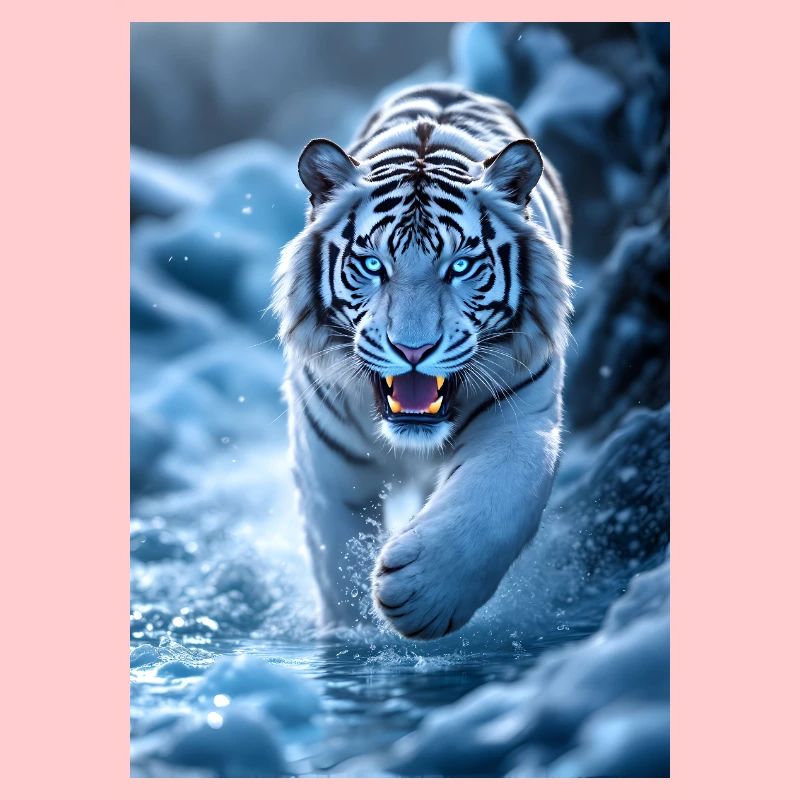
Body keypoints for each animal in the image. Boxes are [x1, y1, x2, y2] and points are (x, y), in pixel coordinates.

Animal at [272, 83, 573, 640]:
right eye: (373, 265)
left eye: (461, 266)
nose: (413, 350)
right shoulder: (327, 465)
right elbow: (336, 563)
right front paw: (353, 635)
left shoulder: (521, 419)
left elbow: (495, 500)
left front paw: (423, 595)